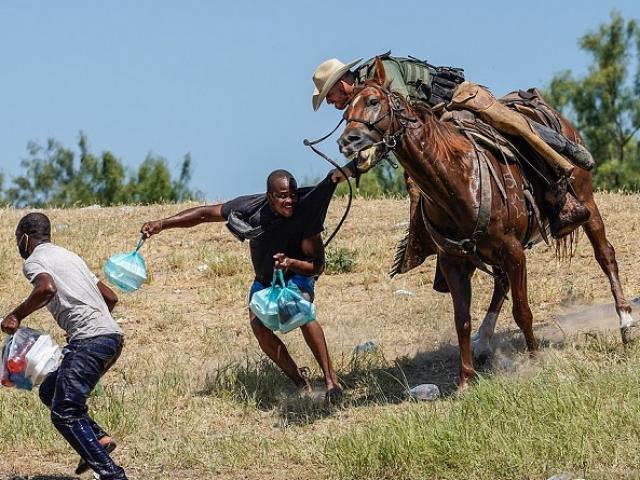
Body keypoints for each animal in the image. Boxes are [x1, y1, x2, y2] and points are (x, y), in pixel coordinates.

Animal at [338, 57, 636, 390]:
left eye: (374, 101)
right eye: (345, 111)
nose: (347, 141)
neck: (456, 179)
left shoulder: (514, 252)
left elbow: (522, 311)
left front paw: (534, 360)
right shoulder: (454, 261)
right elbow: (462, 320)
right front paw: (466, 379)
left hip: (586, 201)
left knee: (605, 254)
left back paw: (625, 322)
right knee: (501, 282)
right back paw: (484, 341)